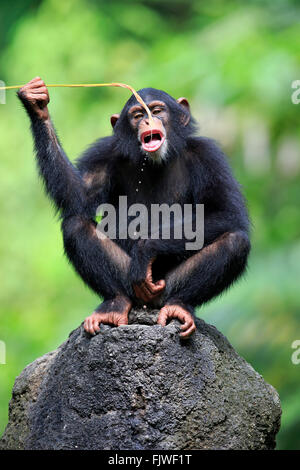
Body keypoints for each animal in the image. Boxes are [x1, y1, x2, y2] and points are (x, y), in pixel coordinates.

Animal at [17, 79, 250, 340]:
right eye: (138, 115)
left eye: (157, 110)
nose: (148, 121)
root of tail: (147, 305)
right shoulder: (103, 152)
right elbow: (79, 197)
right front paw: (37, 104)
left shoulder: (209, 156)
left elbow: (226, 212)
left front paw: (146, 249)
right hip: (129, 284)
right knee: (75, 225)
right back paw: (114, 306)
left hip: (164, 288)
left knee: (235, 241)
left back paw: (179, 306)